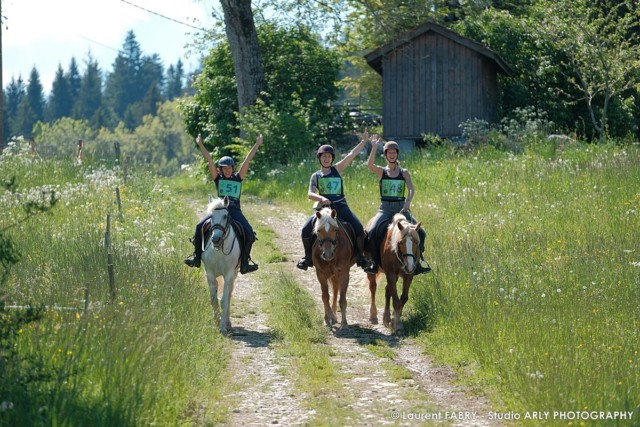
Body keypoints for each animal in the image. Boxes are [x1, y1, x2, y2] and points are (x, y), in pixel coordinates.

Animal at [201, 196, 241, 334]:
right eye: (211, 216)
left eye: (225, 216)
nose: (216, 239)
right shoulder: (210, 274)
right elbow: (214, 299)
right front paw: (216, 322)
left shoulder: (229, 274)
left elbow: (224, 301)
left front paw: (223, 327)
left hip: (234, 274)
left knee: (229, 295)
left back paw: (228, 323)